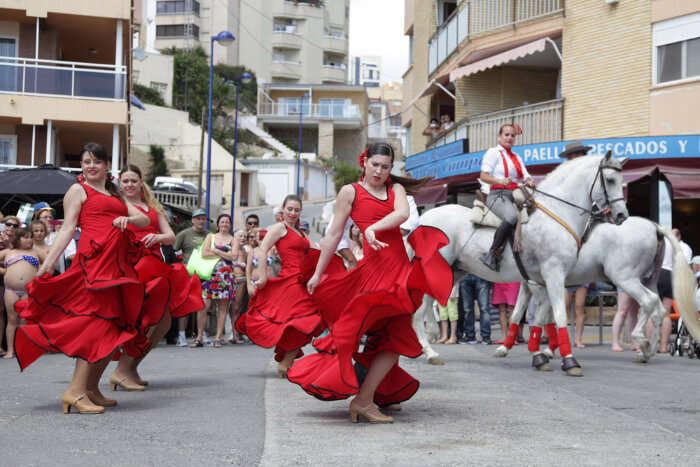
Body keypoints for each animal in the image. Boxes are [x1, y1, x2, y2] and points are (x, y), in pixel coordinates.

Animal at [412, 154, 628, 376]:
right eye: (610, 180)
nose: (621, 215)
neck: (557, 214)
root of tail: (424, 218)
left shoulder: (539, 281)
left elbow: (532, 316)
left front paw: (538, 355)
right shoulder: (553, 275)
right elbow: (558, 315)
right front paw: (569, 360)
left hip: (454, 271)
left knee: (426, 305)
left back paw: (429, 347)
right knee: (419, 309)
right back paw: (429, 352)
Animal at [492, 218, 700, 370]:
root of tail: (654, 227)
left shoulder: (542, 283)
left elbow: (547, 316)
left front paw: (547, 351)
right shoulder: (535, 283)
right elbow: (521, 314)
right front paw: (507, 348)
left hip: (626, 279)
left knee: (649, 302)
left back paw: (642, 341)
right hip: (648, 280)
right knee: (657, 311)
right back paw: (647, 351)